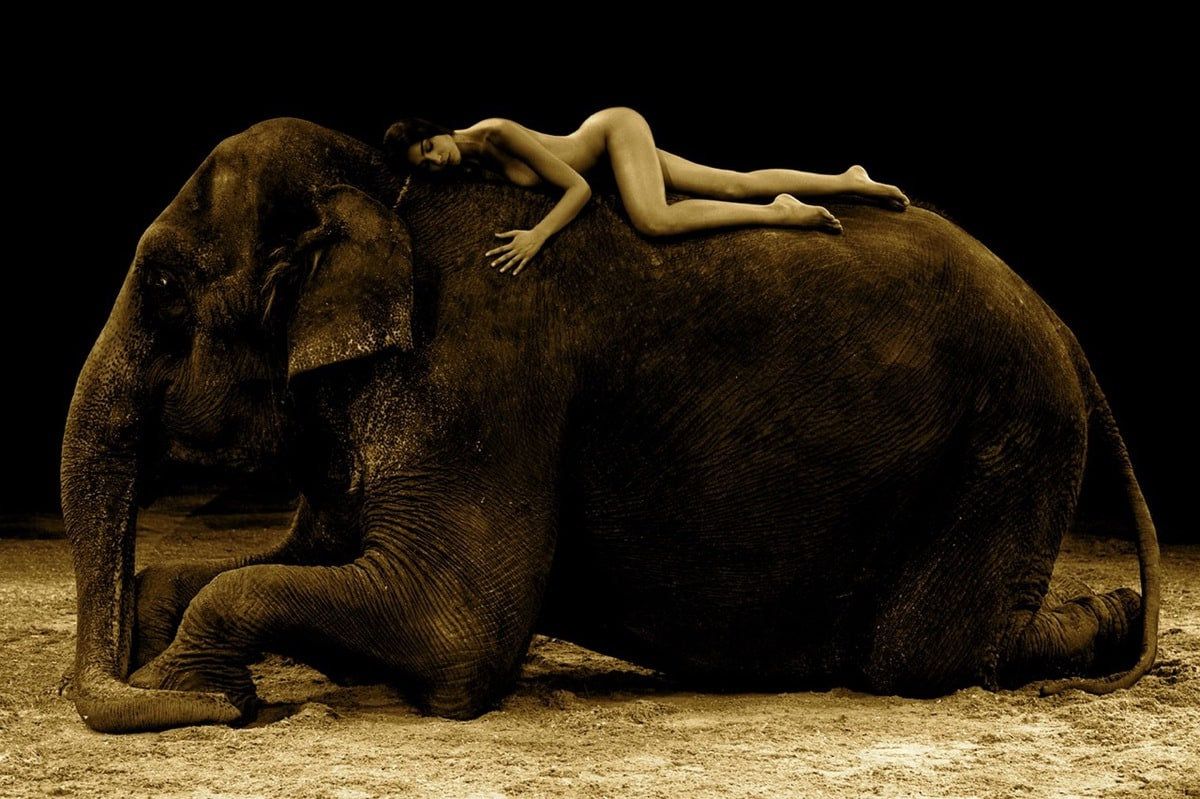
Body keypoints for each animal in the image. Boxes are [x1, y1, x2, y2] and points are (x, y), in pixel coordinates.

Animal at [59, 116, 1160, 734]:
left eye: (164, 289)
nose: (90, 684)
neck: (381, 186)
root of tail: (1065, 329)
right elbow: (278, 561)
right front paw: (165, 666)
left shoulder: (478, 372)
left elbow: (457, 626)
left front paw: (201, 695)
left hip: (1010, 440)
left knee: (917, 657)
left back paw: (1110, 618)